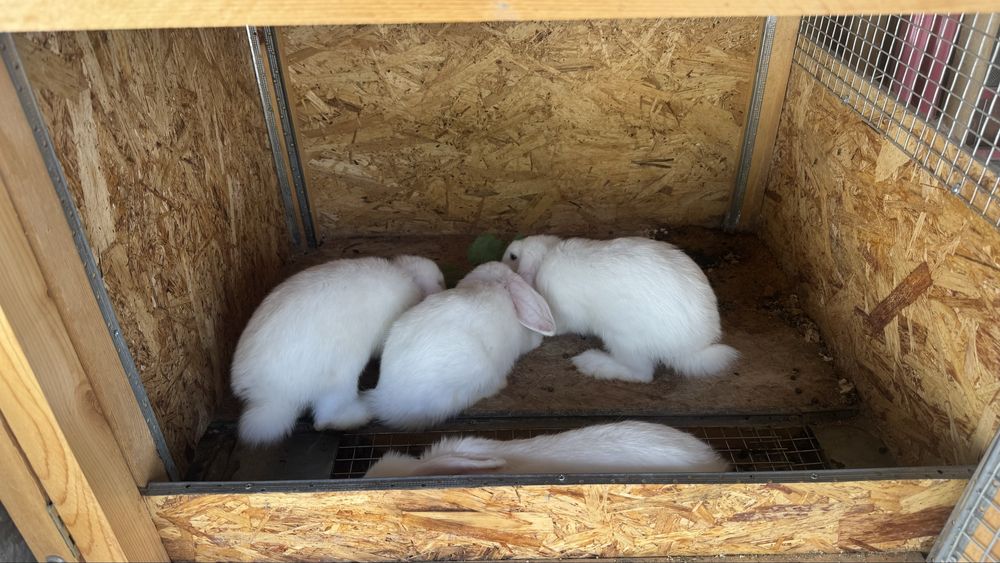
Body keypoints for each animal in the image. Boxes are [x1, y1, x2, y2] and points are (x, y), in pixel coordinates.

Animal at [231, 255, 445, 445]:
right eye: (439, 282)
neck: (408, 277)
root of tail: (266, 395)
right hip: (339, 378)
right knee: (324, 420)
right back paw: (360, 415)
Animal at [502, 235, 738, 383]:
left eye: (513, 257)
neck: (544, 258)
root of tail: (692, 348)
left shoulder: (564, 315)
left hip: (623, 340)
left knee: (641, 373)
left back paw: (591, 363)